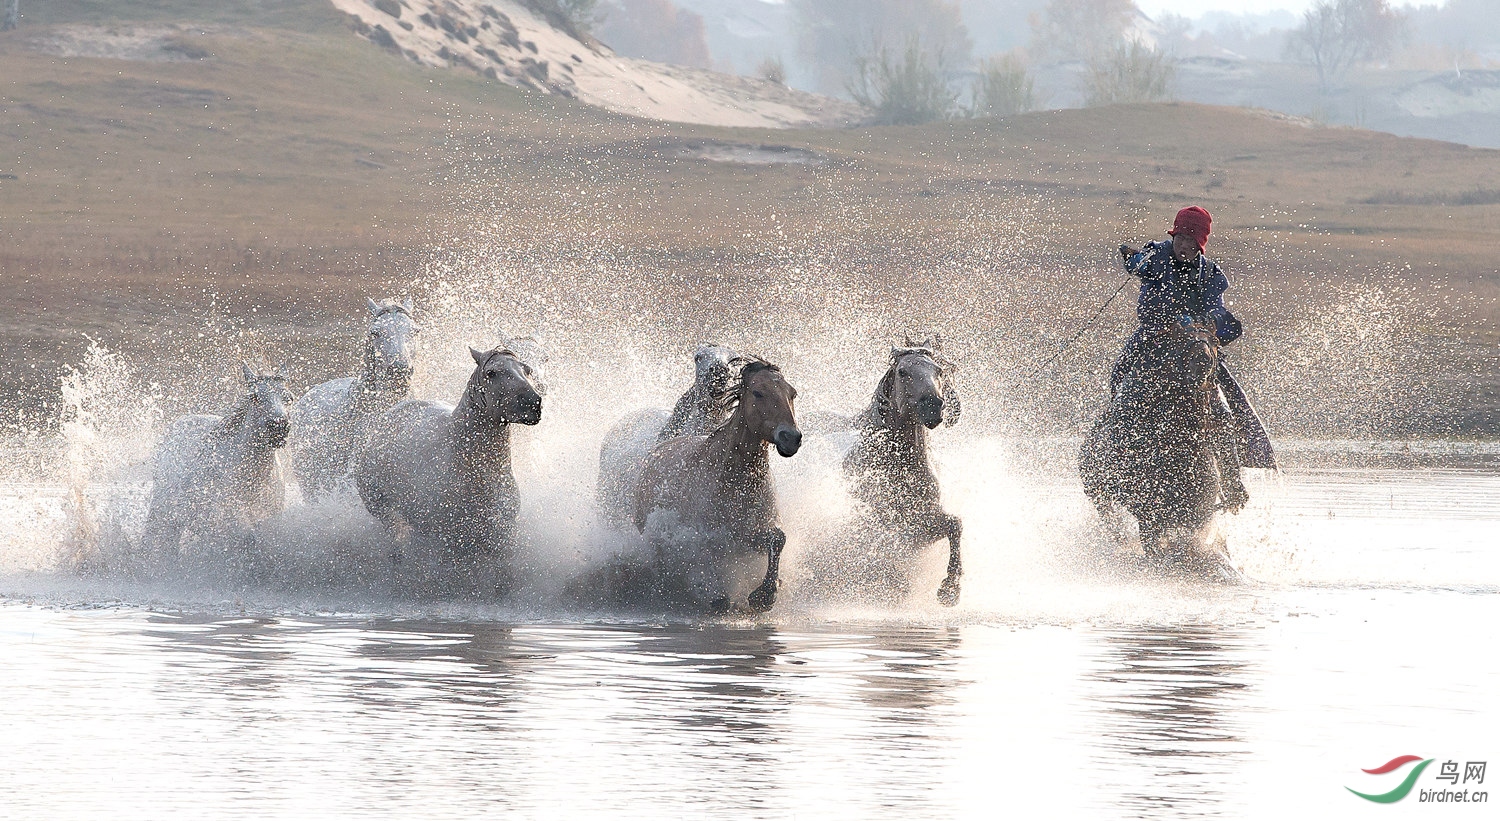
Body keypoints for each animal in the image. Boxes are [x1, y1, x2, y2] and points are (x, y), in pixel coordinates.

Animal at [141, 363, 292, 560]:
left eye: (289, 397)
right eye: (254, 397)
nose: (278, 427)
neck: (252, 480)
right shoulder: (228, 520)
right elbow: (246, 541)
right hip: (161, 511)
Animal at [355, 346, 543, 592]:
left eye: (527, 369)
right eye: (491, 372)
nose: (533, 403)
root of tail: (392, 414)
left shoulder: (503, 538)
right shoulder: (450, 543)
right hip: (382, 509)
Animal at [633, 357, 801, 613]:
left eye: (792, 393)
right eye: (758, 392)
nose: (790, 438)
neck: (735, 480)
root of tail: (654, 451)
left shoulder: (751, 532)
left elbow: (778, 539)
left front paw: (764, 595)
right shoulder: (711, 534)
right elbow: (708, 556)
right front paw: (719, 597)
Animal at [839, 338, 964, 606]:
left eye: (939, 370)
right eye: (903, 372)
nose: (933, 405)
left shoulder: (922, 527)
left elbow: (955, 524)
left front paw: (950, 589)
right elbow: (885, 544)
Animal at [1079, 321, 1242, 580]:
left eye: (1216, 344)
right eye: (1179, 338)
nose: (1202, 363)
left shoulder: (1197, 517)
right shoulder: (1149, 516)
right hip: (1098, 493)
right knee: (1113, 523)